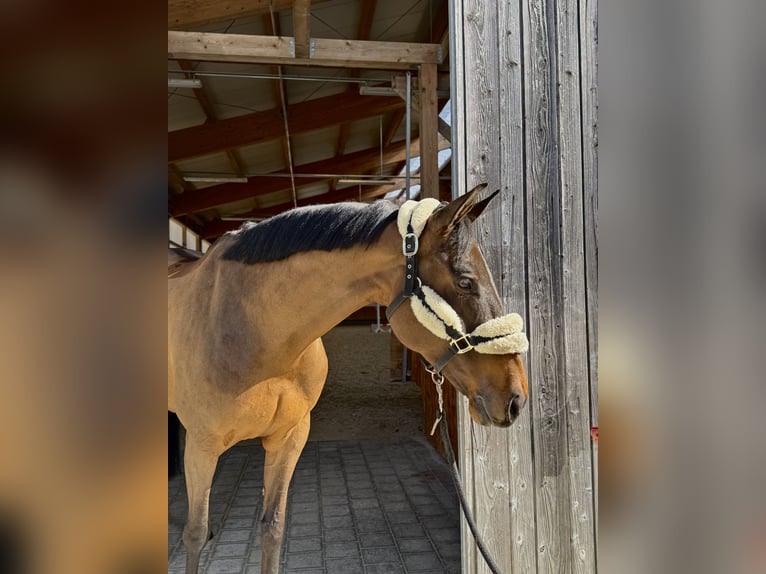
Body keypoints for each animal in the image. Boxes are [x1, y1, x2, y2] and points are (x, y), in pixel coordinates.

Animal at [168, 184, 529, 574]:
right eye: (465, 281)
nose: (516, 397)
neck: (253, 330)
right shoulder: (203, 445)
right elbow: (194, 535)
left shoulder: (288, 439)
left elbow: (271, 528)